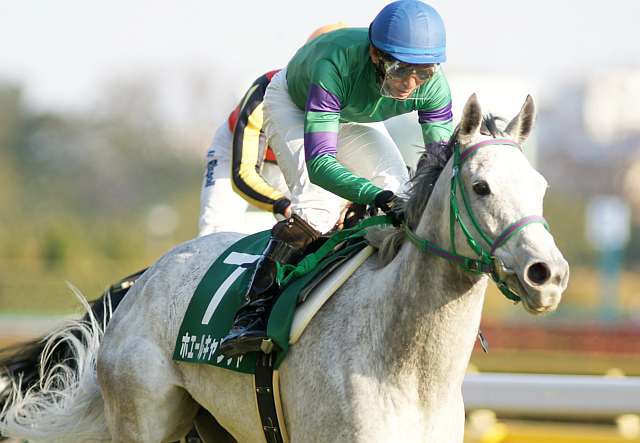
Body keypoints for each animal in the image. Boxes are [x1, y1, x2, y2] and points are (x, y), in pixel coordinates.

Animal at [0, 94, 569, 443]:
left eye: (541, 186)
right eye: (481, 186)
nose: (547, 274)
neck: (405, 367)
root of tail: (142, 282)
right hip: (143, 416)